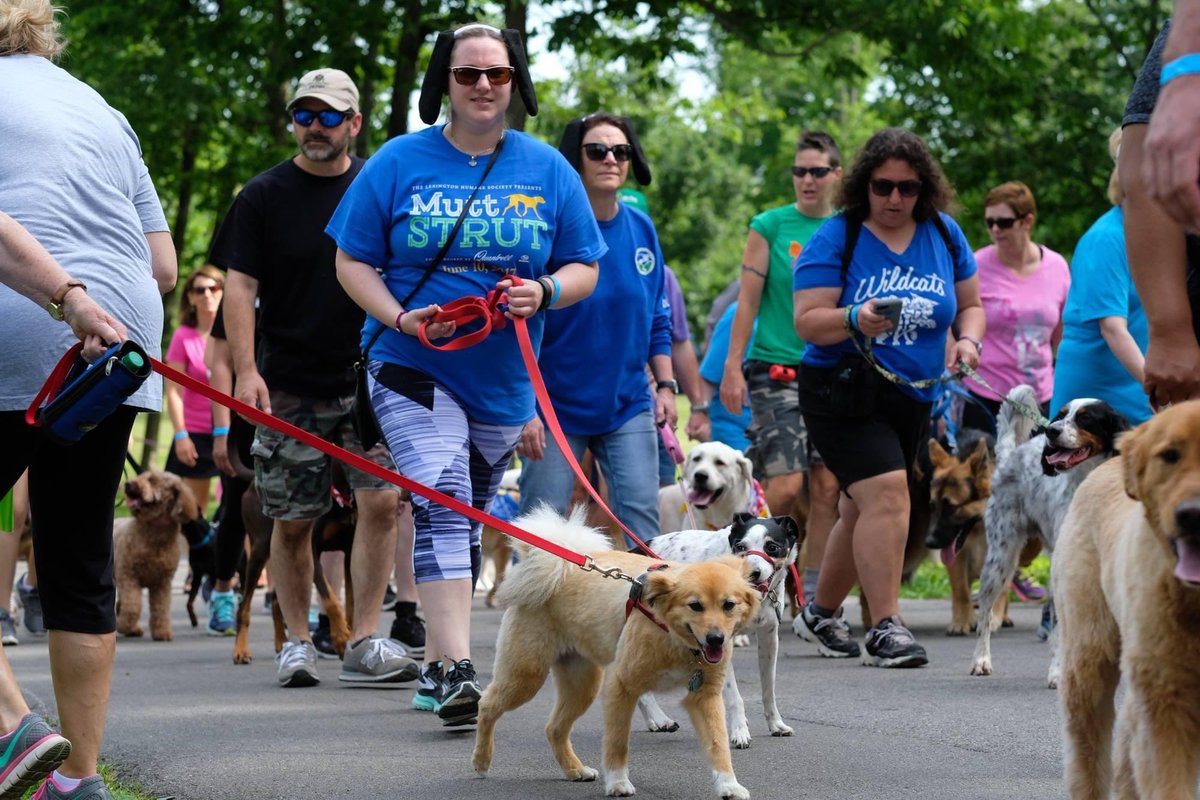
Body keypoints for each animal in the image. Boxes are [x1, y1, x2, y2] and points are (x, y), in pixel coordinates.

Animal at [470, 506, 758, 800]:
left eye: (729, 605)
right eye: (695, 606)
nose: (716, 639)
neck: (671, 634)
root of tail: (557, 565)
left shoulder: (705, 696)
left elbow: (717, 743)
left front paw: (728, 784)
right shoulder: (621, 687)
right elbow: (618, 741)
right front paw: (618, 782)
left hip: (581, 685)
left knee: (554, 729)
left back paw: (575, 770)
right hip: (526, 675)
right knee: (488, 705)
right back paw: (481, 760)